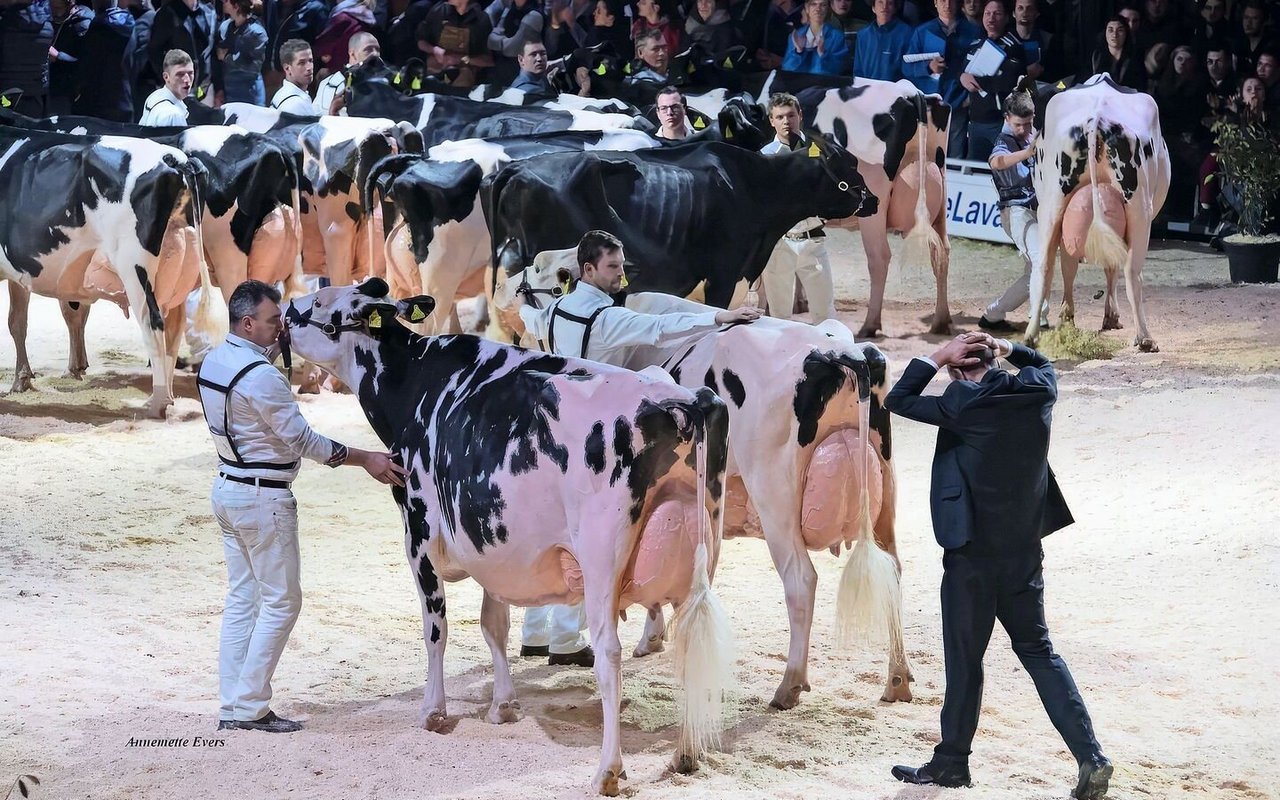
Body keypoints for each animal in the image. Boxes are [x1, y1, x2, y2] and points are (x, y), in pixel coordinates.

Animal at [0, 126, 217, 412]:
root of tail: (173, 158)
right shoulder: (18, 272)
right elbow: (17, 322)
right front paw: (21, 380)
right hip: (178, 269)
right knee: (173, 326)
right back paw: (168, 396)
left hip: (133, 264)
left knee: (153, 323)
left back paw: (156, 403)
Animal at [286, 279, 737, 793]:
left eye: (321, 304)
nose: (285, 311)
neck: (417, 384)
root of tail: (681, 400)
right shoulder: (493, 544)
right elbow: (493, 625)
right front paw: (503, 704)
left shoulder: (419, 533)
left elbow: (436, 629)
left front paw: (433, 711)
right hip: (704, 545)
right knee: (691, 645)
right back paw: (687, 752)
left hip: (601, 558)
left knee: (609, 654)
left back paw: (607, 769)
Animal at [1029, 74, 1172, 348]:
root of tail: (1097, 119)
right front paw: (1108, 316)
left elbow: (1071, 264)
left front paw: (1069, 317)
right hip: (1140, 211)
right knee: (1131, 270)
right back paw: (1144, 337)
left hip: (1052, 206)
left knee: (1043, 266)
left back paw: (1031, 335)